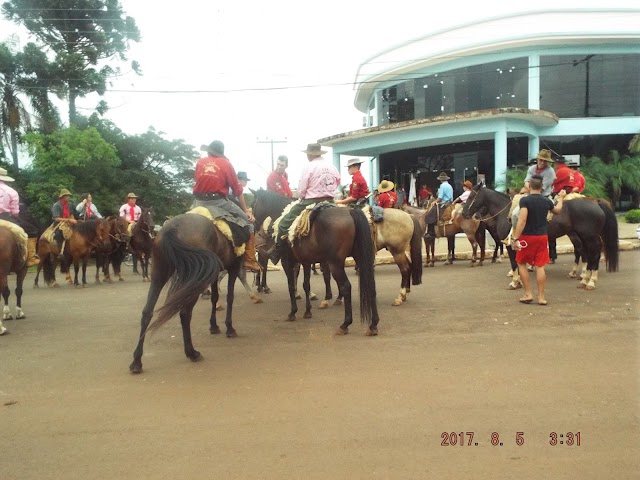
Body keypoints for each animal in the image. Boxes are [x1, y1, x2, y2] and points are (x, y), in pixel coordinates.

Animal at [130, 214, 245, 376]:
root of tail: (173, 228)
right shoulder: (233, 267)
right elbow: (230, 297)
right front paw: (229, 328)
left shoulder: (214, 272)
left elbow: (215, 297)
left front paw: (214, 326)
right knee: (185, 313)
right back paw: (192, 352)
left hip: (160, 273)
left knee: (147, 312)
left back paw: (136, 361)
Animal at [251, 188, 380, 334]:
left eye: (253, 204)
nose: (255, 226)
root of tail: (351, 211)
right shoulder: (306, 261)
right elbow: (306, 285)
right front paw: (307, 311)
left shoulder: (287, 261)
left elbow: (291, 285)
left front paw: (293, 312)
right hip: (361, 258)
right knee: (370, 284)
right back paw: (373, 324)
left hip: (335, 263)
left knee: (346, 286)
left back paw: (345, 324)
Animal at [462, 185, 616, 288]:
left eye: (470, 196)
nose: (464, 214)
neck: (506, 212)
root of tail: (596, 202)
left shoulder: (511, 243)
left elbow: (513, 263)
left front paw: (515, 282)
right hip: (581, 235)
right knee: (586, 252)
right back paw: (584, 278)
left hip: (589, 236)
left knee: (593, 253)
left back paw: (590, 280)